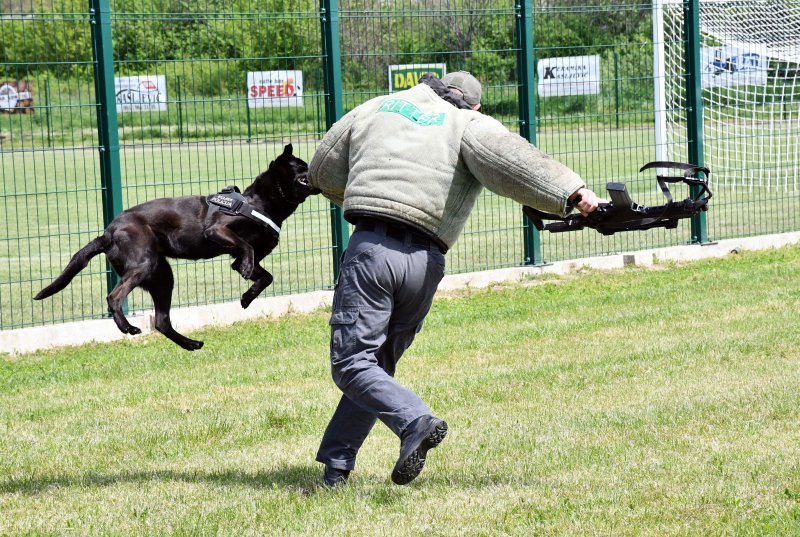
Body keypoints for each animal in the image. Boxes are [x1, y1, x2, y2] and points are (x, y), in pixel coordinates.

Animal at [34, 144, 318, 350]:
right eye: (302, 166)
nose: (315, 168)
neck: (259, 202)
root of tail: (108, 232)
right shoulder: (217, 231)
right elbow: (246, 251)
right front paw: (248, 278)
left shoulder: (238, 259)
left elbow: (265, 276)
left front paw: (247, 297)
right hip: (143, 264)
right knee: (114, 297)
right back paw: (128, 328)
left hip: (162, 277)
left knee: (161, 322)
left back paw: (190, 343)